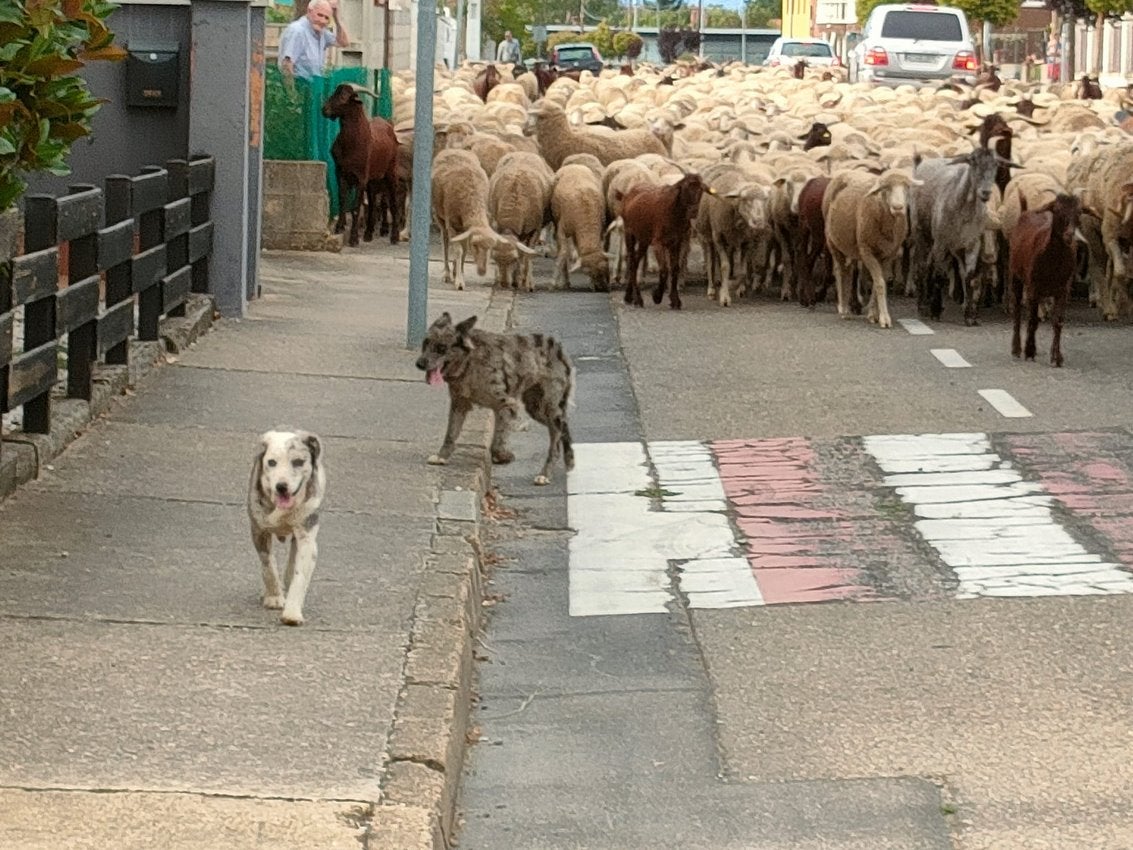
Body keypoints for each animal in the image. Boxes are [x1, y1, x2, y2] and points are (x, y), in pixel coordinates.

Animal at [243, 432, 324, 625]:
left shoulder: (307, 534)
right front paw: (274, 597)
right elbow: (268, 564)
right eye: (272, 462)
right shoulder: (258, 530)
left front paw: (292, 613)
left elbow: (299, 575)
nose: (281, 486)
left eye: (298, 461)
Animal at [321, 84, 401, 245]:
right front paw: (339, 227)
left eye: (344, 96)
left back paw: (394, 236)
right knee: (372, 204)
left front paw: (353, 238)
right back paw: (368, 233)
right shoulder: (341, 173)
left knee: (393, 202)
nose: (324, 110)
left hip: (390, 173)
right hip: (373, 181)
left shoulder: (361, 178)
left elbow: (355, 208)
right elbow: (343, 200)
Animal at [620, 173, 706, 310]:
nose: (693, 211)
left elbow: (675, 268)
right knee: (632, 260)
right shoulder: (658, 243)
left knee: (635, 261)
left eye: (701, 189)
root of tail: (629, 193)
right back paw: (637, 298)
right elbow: (665, 269)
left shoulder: (676, 242)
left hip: (644, 239)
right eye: (685, 188)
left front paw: (675, 300)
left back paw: (629, 297)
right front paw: (657, 296)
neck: (673, 212)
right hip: (629, 233)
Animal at [901, 148, 1010, 324]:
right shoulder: (941, 243)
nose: (985, 192)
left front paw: (970, 315)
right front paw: (935, 310)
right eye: (973, 163)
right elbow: (939, 275)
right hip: (922, 234)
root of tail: (922, 162)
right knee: (922, 266)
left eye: (995, 166)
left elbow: (970, 278)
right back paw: (923, 305)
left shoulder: (971, 244)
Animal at [1010, 194, 1087, 367]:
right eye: (1056, 210)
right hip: (1015, 275)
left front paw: (1056, 357)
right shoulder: (1033, 287)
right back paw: (1017, 348)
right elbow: (1032, 320)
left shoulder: (1063, 290)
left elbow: (1058, 322)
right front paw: (1029, 351)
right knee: (1017, 310)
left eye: (1079, 212)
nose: (1069, 235)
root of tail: (1025, 211)